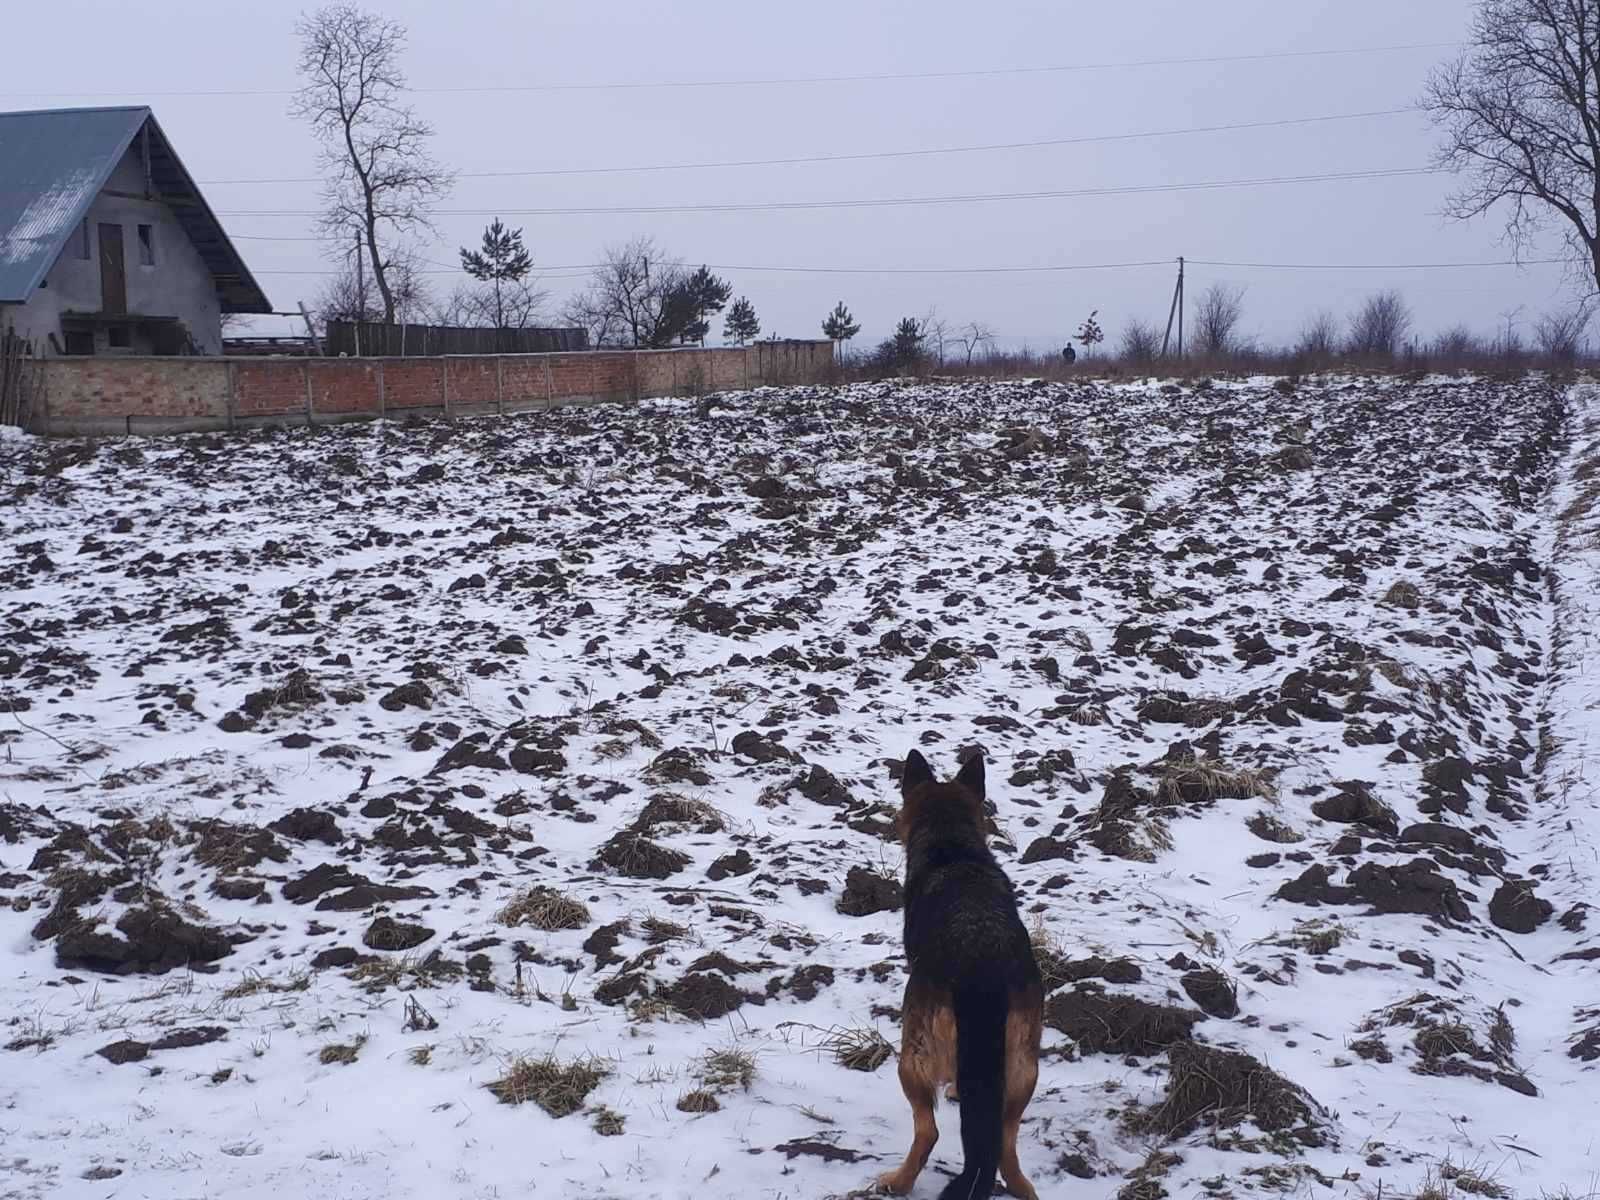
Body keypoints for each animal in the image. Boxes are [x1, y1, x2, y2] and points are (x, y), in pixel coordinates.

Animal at [883, 752, 1043, 1200]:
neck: (952, 846)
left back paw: (897, 1182)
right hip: (1024, 1066)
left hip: (913, 1054)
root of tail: (981, 970)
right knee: (1004, 1144)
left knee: (928, 1132)